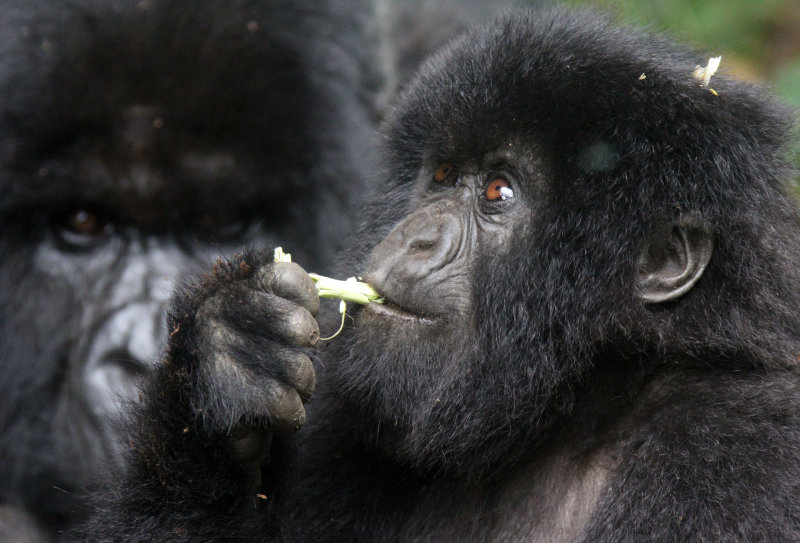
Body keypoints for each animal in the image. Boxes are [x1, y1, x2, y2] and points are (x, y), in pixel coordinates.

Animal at [81, 8, 800, 543]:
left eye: (498, 192)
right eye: (444, 175)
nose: (417, 236)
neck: (572, 411)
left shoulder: (735, 447)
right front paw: (224, 359)